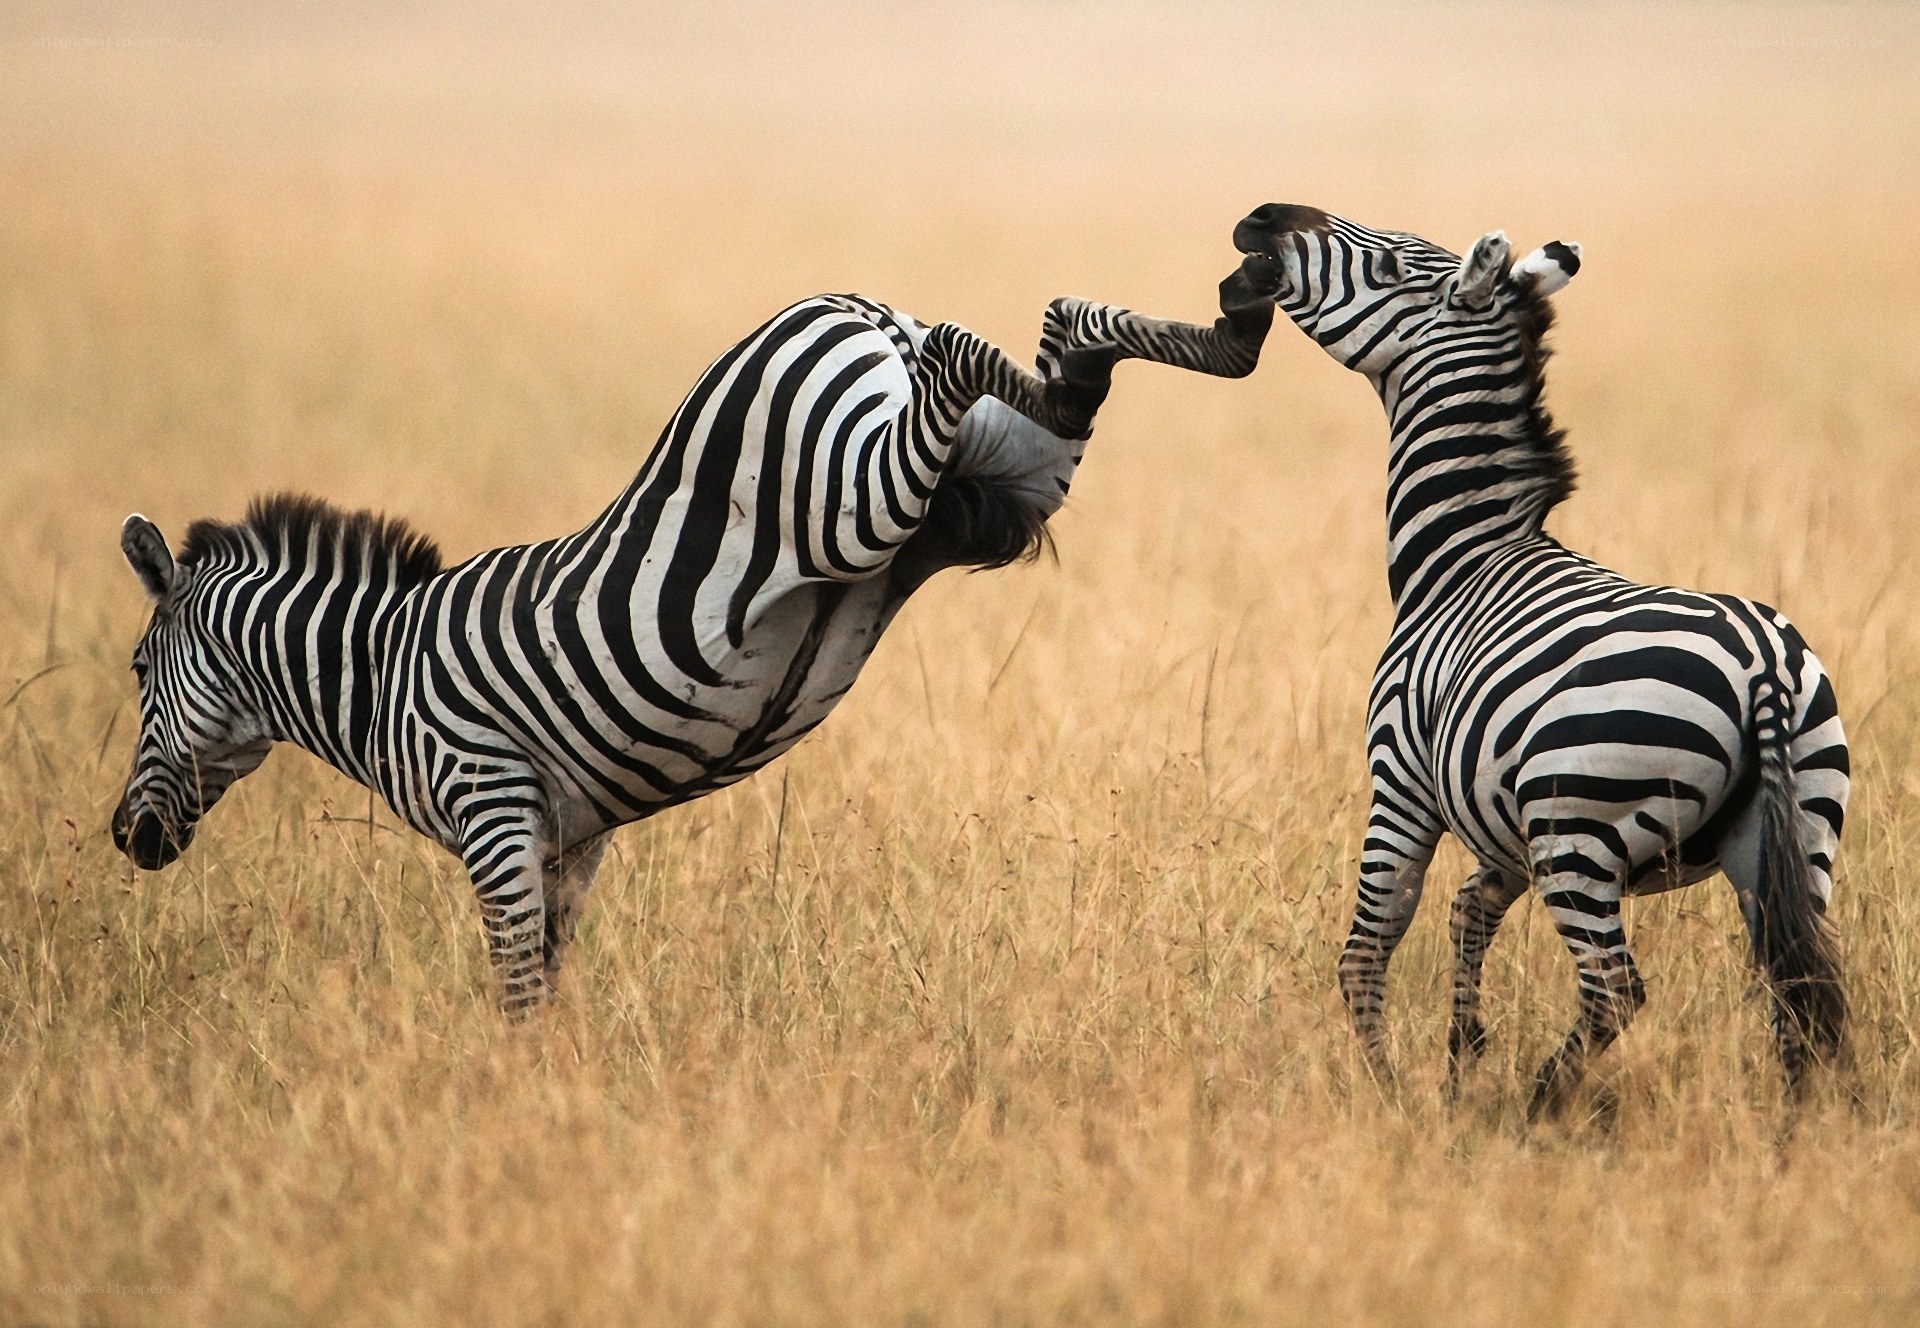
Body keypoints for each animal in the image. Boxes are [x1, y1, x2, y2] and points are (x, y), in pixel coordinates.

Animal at [112, 275, 1278, 1013]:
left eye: (132, 673)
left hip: (852, 497)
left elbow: (514, 991)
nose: (126, 837)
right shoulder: (568, 841)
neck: (377, 673)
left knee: (961, 345)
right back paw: (1230, 325)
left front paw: (512, 1112)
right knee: (1066, 341)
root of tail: (854, 308)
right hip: (1007, 480)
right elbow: (547, 985)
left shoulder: (492, 809)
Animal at [1229, 204, 1848, 1113]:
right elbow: (1468, 914)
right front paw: (1459, 1061)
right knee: (1794, 986)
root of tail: (1760, 662)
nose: (1261, 219)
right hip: (1795, 831)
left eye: (1385, 267)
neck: (1462, 557)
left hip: (1578, 828)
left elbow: (1371, 944)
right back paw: (1791, 1127)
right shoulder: (1499, 824)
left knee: (1616, 988)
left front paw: (1389, 1092)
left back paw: (1540, 1104)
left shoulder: (1403, 780)